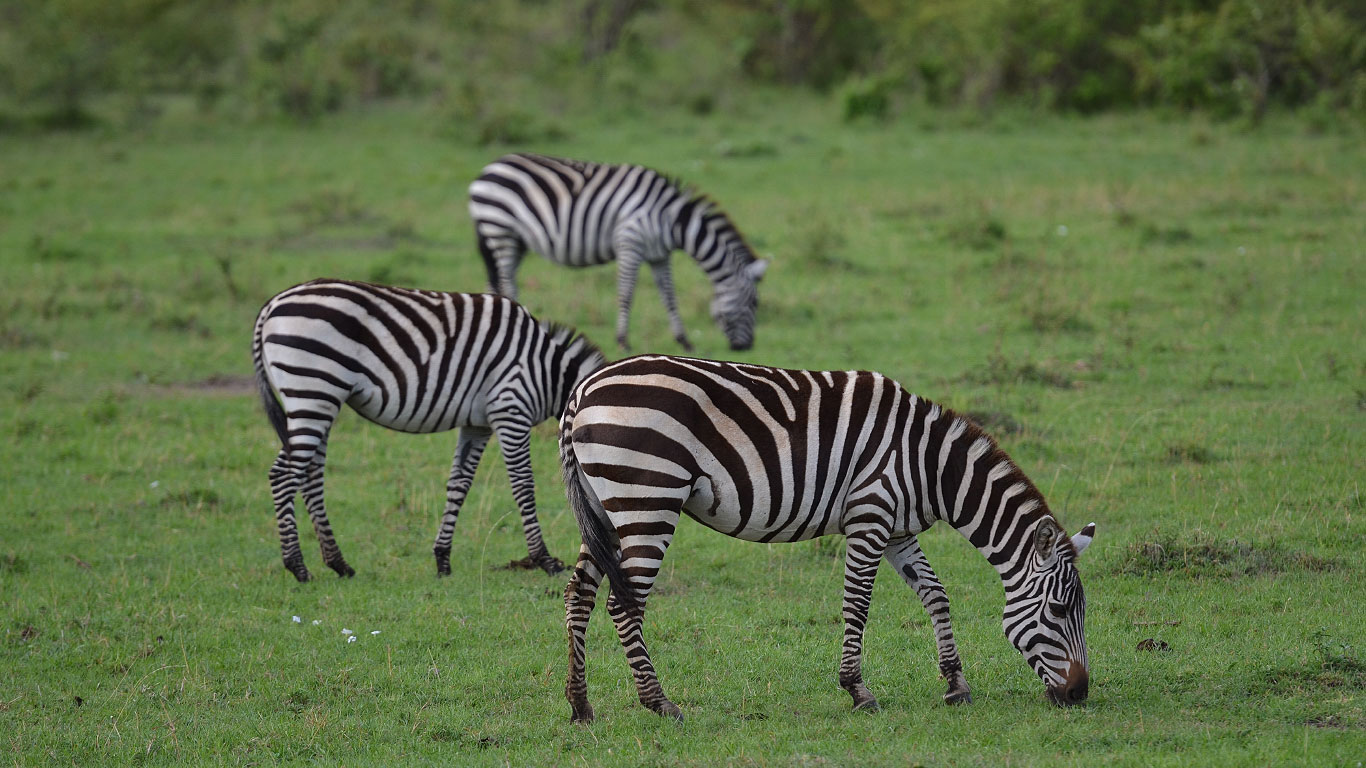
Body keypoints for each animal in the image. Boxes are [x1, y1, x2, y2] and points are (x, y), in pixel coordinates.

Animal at [251, 277, 603, 576]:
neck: (547, 371)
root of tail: (272, 304)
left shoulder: (477, 424)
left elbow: (459, 484)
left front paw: (442, 559)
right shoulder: (510, 409)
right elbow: (523, 485)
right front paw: (544, 559)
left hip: (319, 400)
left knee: (310, 475)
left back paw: (339, 563)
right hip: (313, 391)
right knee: (283, 474)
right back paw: (297, 566)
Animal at [469, 151, 770, 352]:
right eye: (754, 303)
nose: (746, 348)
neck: (673, 220)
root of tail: (487, 169)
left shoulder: (659, 255)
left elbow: (669, 296)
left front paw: (684, 340)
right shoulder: (631, 242)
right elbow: (626, 292)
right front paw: (623, 341)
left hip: (511, 239)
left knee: (496, 282)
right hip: (500, 230)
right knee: (507, 283)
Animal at [557, 352, 1098, 716]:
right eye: (1059, 610)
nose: (1079, 694)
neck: (929, 464)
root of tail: (582, 391)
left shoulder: (898, 530)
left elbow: (936, 595)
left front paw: (955, 684)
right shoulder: (871, 514)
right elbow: (857, 604)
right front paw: (857, 690)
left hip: (605, 508)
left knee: (579, 594)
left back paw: (580, 704)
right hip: (647, 498)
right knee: (622, 604)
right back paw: (658, 702)